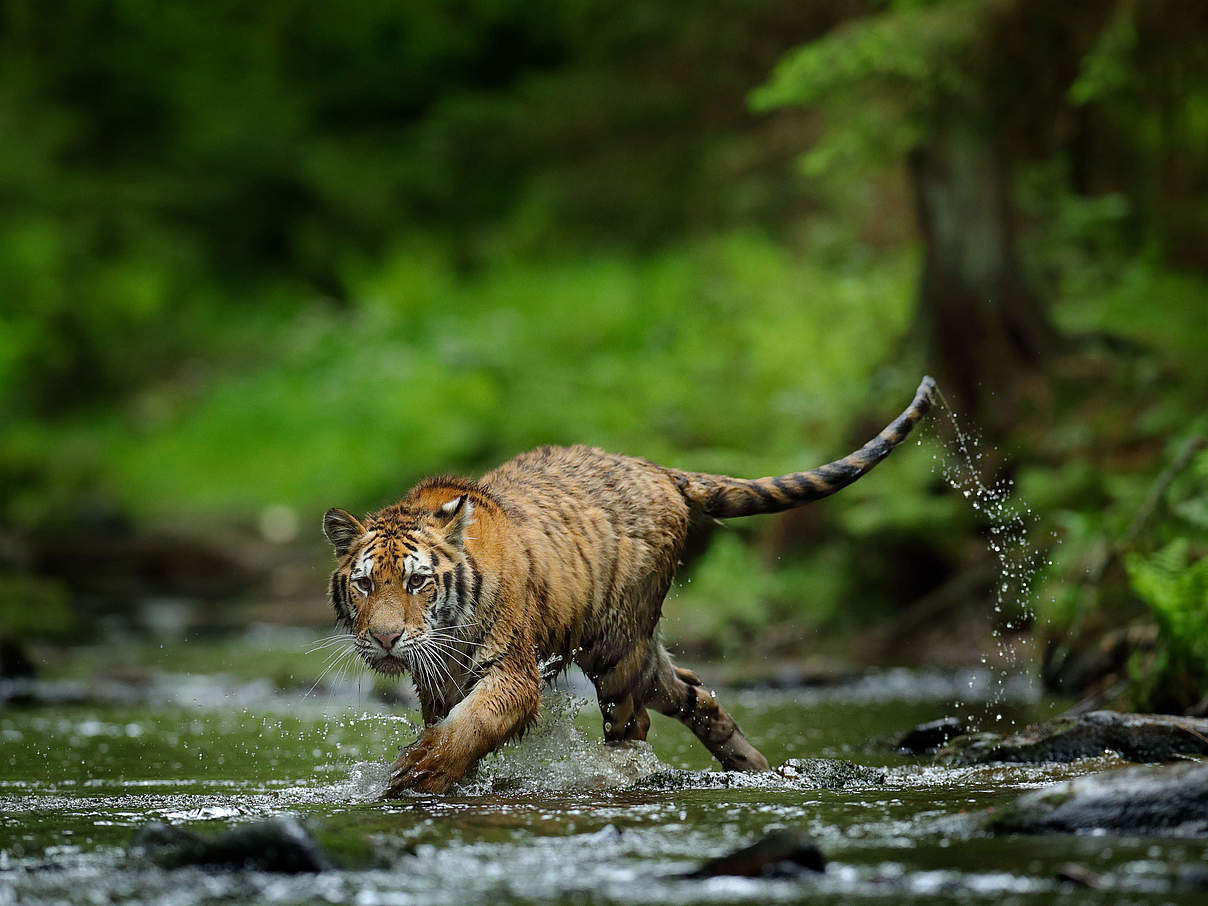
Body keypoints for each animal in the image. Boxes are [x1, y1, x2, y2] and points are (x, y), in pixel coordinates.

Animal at [322, 376, 936, 794]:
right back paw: (756, 769)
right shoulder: (437, 685)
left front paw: (421, 770)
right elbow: (453, 723)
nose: (383, 639)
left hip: (615, 648)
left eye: (417, 582)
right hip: (639, 654)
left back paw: (621, 775)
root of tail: (659, 468)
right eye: (364, 585)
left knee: (633, 722)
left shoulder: (513, 672)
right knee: (694, 692)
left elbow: (472, 724)